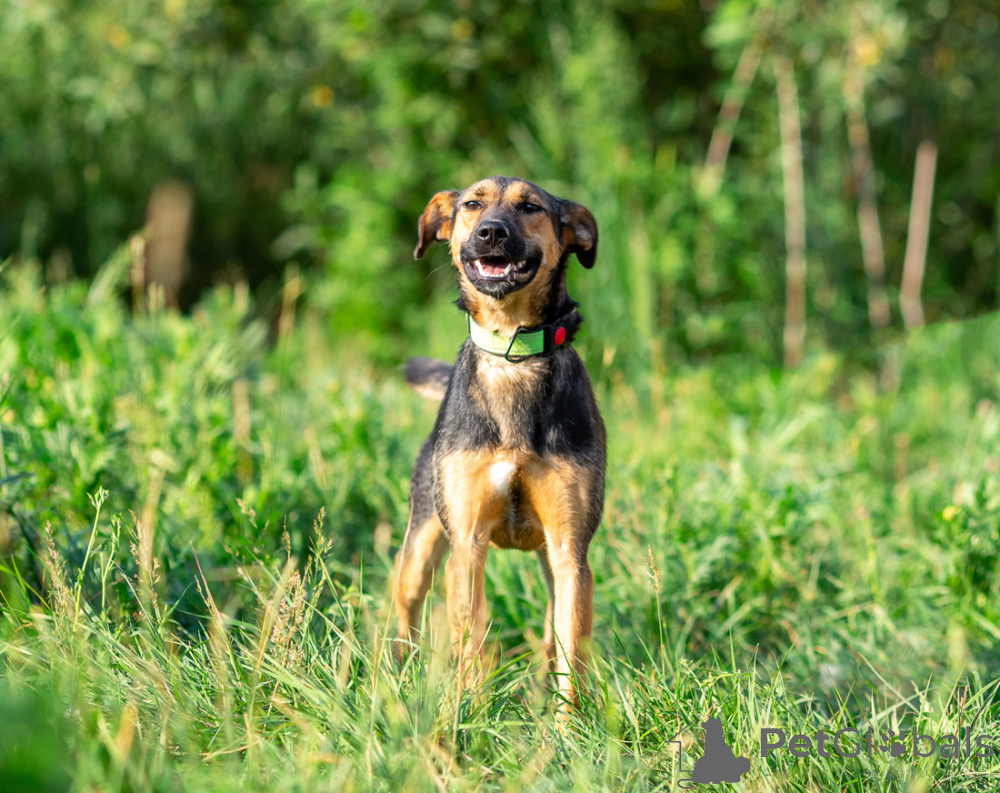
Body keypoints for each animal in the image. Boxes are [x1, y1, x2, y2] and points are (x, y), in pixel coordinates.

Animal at [392, 176, 606, 705]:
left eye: (530, 208)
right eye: (472, 204)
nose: (491, 232)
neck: (513, 351)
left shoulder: (570, 551)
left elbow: (572, 658)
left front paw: (571, 725)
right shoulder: (467, 543)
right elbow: (470, 641)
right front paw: (468, 708)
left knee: (551, 633)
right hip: (422, 541)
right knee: (407, 608)